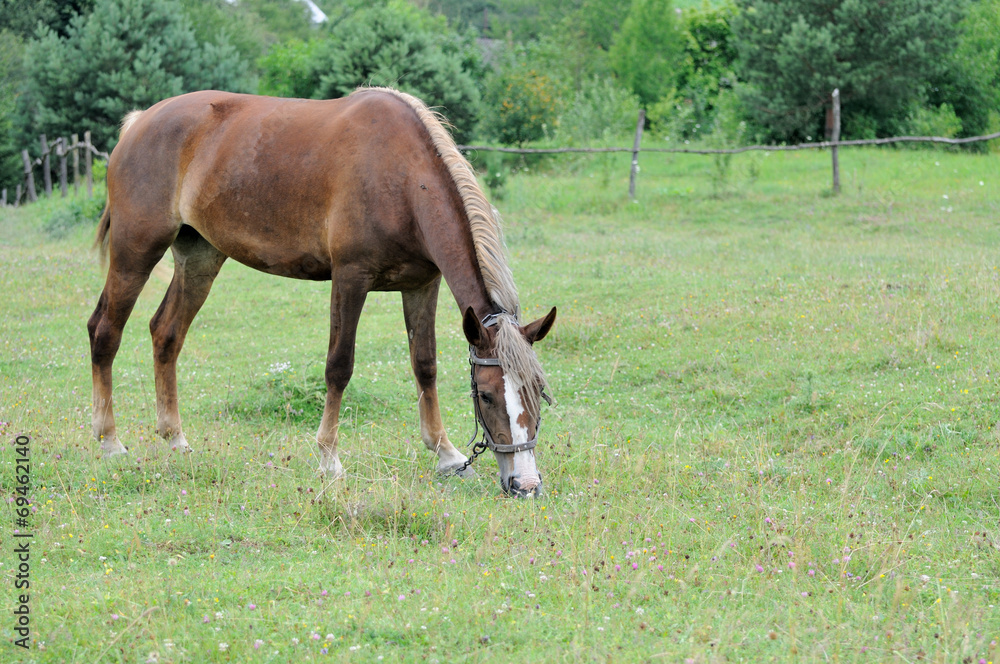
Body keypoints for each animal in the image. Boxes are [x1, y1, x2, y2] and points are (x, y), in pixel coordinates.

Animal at [87, 87, 557, 497]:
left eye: (538, 391)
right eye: (488, 395)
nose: (526, 485)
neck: (402, 177)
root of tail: (138, 122)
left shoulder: (422, 284)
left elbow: (425, 365)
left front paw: (446, 455)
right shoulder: (351, 278)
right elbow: (339, 366)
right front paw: (329, 458)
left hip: (199, 257)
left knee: (166, 333)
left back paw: (175, 439)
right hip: (136, 250)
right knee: (105, 330)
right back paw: (109, 442)